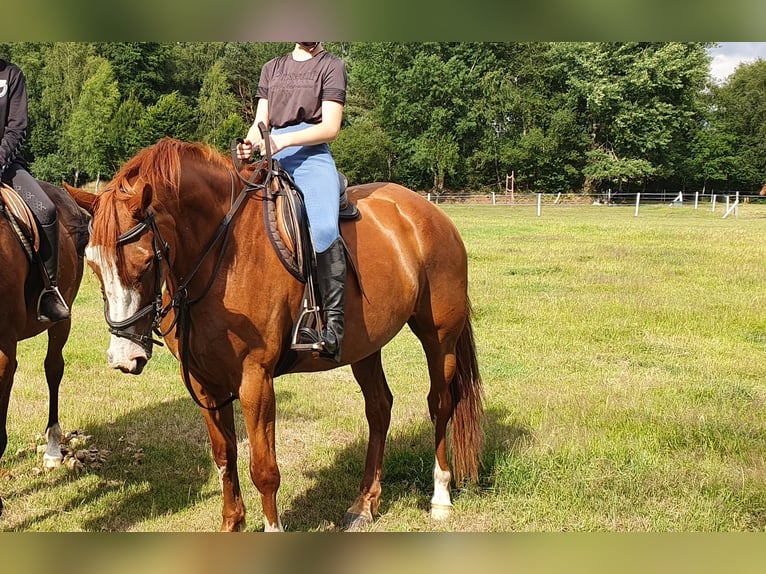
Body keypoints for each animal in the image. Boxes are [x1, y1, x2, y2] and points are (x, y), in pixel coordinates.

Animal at [67, 140, 486, 536]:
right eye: (93, 265)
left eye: (144, 263)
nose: (124, 356)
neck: (221, 256)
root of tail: (427, 212)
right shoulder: (204, 384)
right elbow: (224, 457)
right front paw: (231, 524)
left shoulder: (256, 378)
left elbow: (263, 468)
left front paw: (272, 528)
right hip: (364, 347)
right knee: (380, 408)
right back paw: (364, 504)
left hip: (439, 338)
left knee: (440, 404)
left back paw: (440, 497)